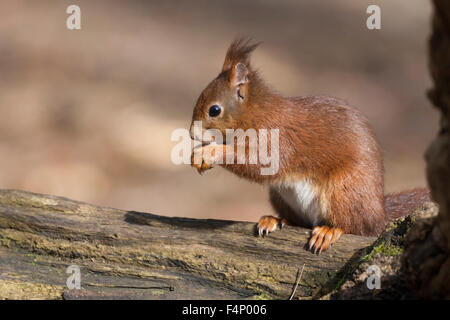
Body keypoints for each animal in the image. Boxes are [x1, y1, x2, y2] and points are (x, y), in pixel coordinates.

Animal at [188, 38, 430, 252]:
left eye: (214, 110)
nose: (191, 134)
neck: (257, 115)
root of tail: (380, 213)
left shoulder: (277, 141)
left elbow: (256, 163)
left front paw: (209, 153)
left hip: (344, 191)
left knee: (356, 226)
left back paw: (329, 232)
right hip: (280, 195)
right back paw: (274, 220)